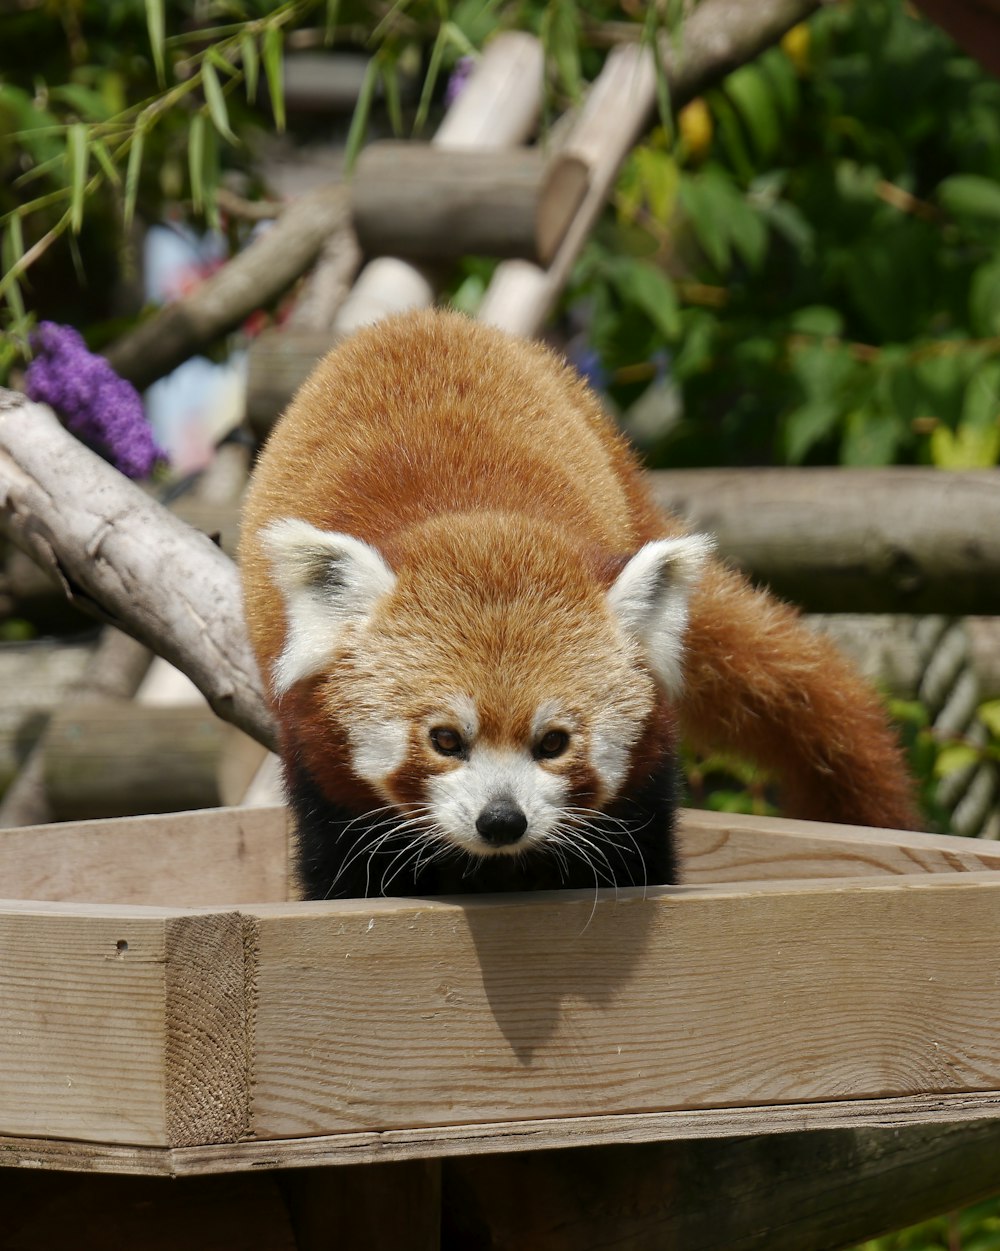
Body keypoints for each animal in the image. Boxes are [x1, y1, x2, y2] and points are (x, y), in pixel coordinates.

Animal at [240, 311, 921, 900]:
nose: (502, 821)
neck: (477, 517)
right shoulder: (319, 760)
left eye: (554, 742)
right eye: (444, 739)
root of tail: (424, 318)